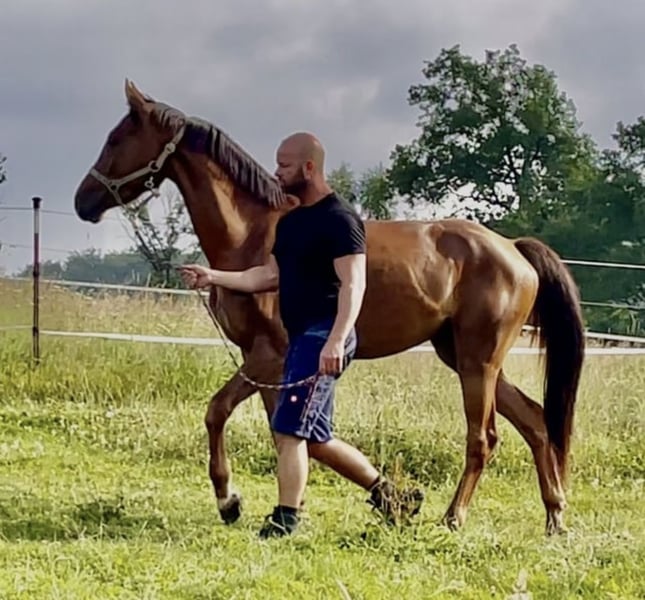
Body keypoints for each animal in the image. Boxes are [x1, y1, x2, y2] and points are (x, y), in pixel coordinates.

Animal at [74, 80, 585, 535]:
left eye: (117, 138)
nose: (83, 201)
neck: (253, 235)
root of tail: (514, 250)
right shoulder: (266, 364)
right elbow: (289, 437)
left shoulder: (271, 356)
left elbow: (222, 414)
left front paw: (230, 500)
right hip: (463, 356)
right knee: (536, 422)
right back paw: (555, 517)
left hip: (479, 361)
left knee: (483, 438)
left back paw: (454, 518)